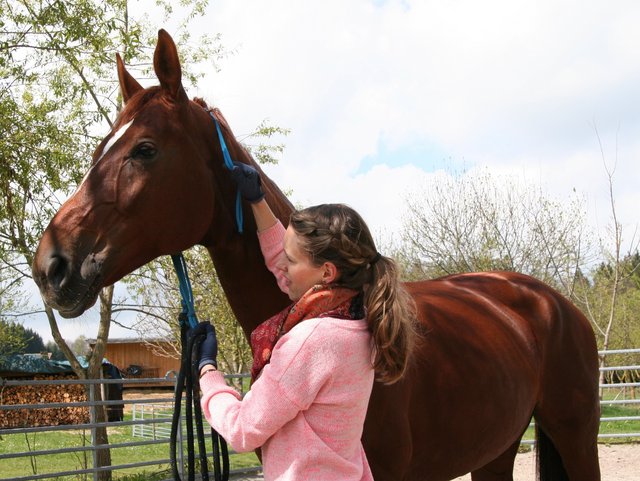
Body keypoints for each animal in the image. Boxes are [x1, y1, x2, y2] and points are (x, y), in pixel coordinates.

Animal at [31, 31, 600, 480]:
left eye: (144, 150)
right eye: (101, 148)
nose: (51, 265)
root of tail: (550, 301)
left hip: (576, 435)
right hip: (496, 449)